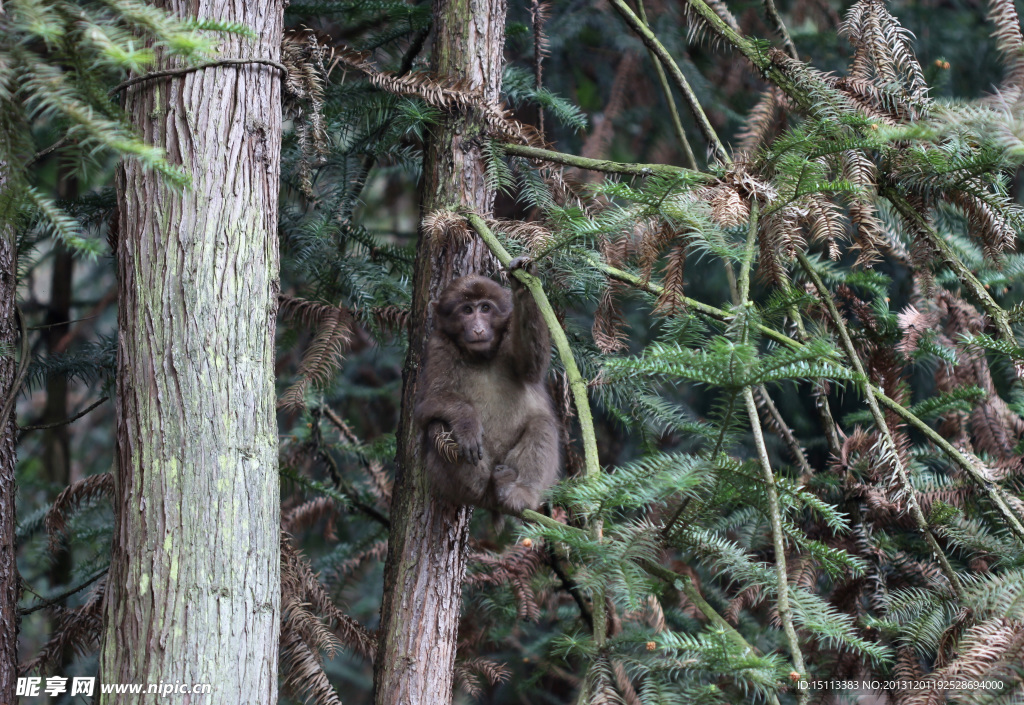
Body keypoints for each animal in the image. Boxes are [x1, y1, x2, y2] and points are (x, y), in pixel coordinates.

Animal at [413, 256, 561, 514]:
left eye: (485, 308)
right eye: (467, 310)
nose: (479, 329)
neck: (481, 357)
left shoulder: (509, 332)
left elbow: (531, 368)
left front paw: (522, 284)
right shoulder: (438, 345)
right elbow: (427, 404)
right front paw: (467, 422)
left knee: (542, 423)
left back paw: (520, 493)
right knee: (437, 425)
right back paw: (487, 487)